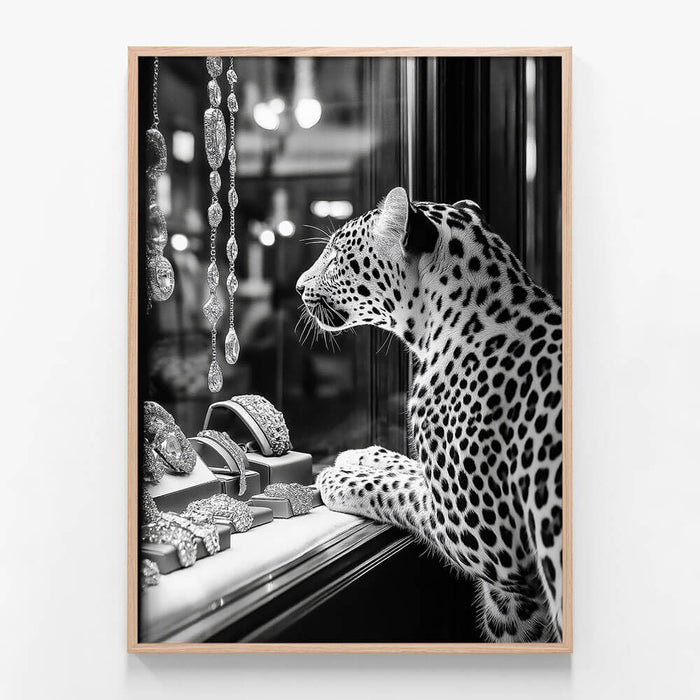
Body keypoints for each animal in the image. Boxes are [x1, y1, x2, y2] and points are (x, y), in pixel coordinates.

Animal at [296, 186, 563, 643]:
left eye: (334, 259)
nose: (297, 287)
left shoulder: (485, 539)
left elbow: (394, 489)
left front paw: (338, 477)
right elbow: (410, 467)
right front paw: (362, 455)